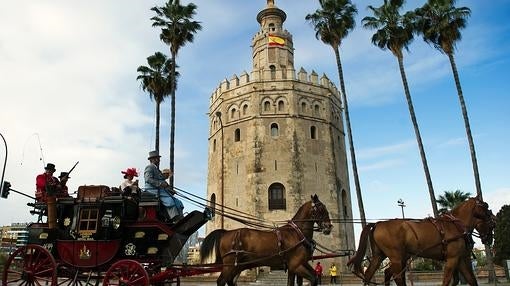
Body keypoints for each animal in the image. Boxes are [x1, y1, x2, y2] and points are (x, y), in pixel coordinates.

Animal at [197, 194, 332, 286]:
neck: (296, 233)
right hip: (229, 266)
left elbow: (310, 278)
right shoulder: (296, 265)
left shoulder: (297, 265)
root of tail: (226, 232)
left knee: (230, 281)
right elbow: (313, 279)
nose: (329, 227)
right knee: (221, 281)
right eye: (321, 209)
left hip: (236, 266)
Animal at [348, 198, 496, 286]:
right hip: (396, 257)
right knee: (396, 276)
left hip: (381, 256)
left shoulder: (461, 259)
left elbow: (470, 280)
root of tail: (377, 224)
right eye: (486, 207)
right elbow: (447, 280)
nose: (489, 238)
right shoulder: (453, 259)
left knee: (370, 274)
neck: (455, 225)